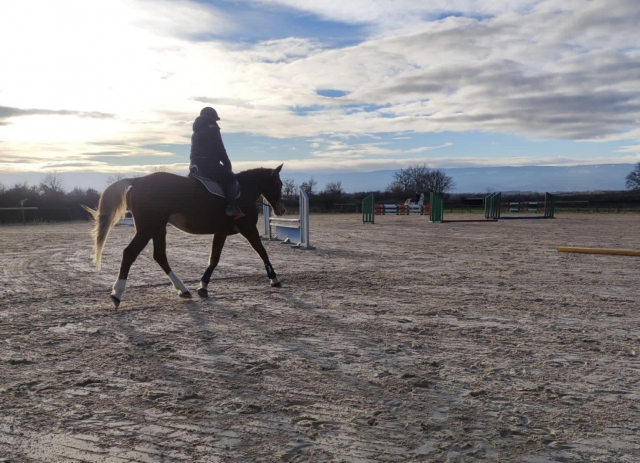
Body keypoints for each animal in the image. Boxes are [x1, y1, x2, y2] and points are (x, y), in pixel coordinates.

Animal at [83, 164, 286, 308]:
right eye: (278, 183)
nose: (281, 210)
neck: (242, 192)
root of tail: (139, 181)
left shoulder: (221, 232)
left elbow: (214, 259)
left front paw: (203, 286)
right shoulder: (249, 229)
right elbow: (262, 252)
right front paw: (274, 278)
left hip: (158, 228)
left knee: (160, 256)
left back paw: (183, 289)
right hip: (149, 228)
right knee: (130, 253)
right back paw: (117, 293)